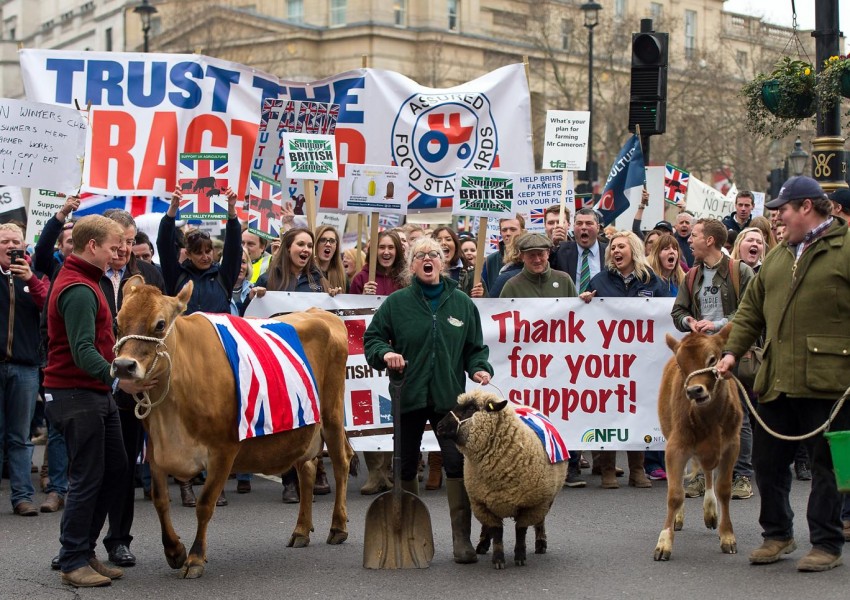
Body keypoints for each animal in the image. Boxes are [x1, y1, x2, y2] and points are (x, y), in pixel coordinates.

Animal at [111, 276, 352, 576]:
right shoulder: (156, 451)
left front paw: (195, 558)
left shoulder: (224, 449)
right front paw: (174, 551)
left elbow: (205, 504)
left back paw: (338, 526)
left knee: (341, 462)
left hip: (332, 413)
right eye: (117, 323)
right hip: (304, 425)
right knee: (306, 468)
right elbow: (160, 500)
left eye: (160, 324)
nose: (123, 366)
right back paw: (301, 531)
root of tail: (318, 312)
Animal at [434, 390, 568, 568]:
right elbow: (497, 532)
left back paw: (540, 543)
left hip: (546, 499)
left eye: (471, 408)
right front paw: (498, 559)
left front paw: (520, 556)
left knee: (540, 521)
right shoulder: (482, 503)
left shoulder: (531, 504)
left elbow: (520, 531)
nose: (439, 427)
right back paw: (482, 544)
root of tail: (525, 406)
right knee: (486, 526)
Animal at [652, 324, 740, 564]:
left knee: (708, 474)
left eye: (712, 359)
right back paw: (679, 518)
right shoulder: (675, 447)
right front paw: (664, 542)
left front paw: (727, 536)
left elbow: (724, 490)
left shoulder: (732, 446)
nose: (694, 390)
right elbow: (674, 494)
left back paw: (711, 511)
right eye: (681, 364)